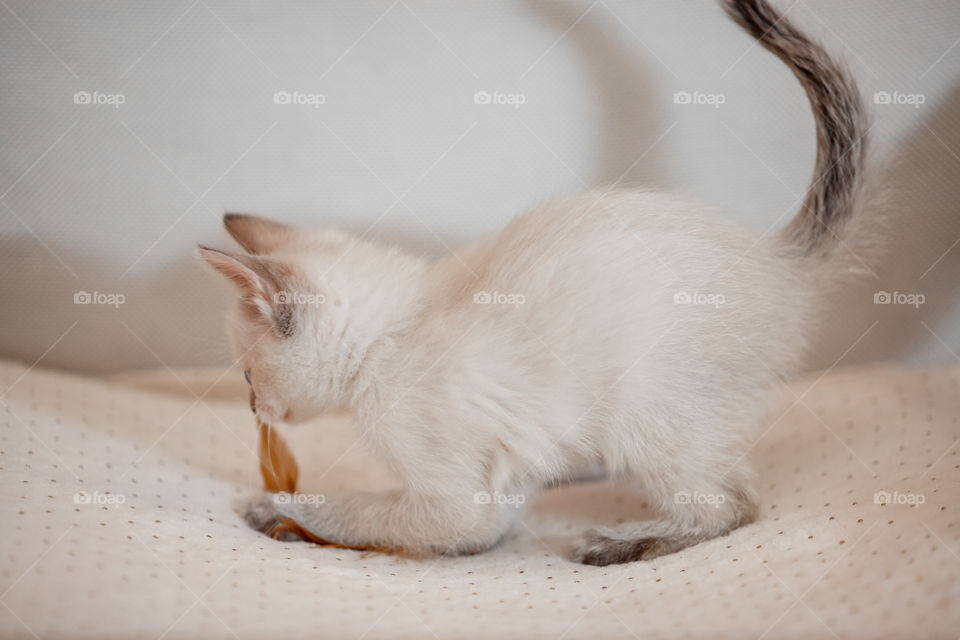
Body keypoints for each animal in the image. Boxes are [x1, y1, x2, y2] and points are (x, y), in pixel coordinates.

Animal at [199, 0, 872, 564]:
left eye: (247, 376)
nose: (256, 407)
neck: (393, 334)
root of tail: (776, 254)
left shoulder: (452, 500)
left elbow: (362, 510)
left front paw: (273, 507)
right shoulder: (501, 480)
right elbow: (477, 526)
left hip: (645, 410)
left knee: (734, 507)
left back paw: (622, 543)